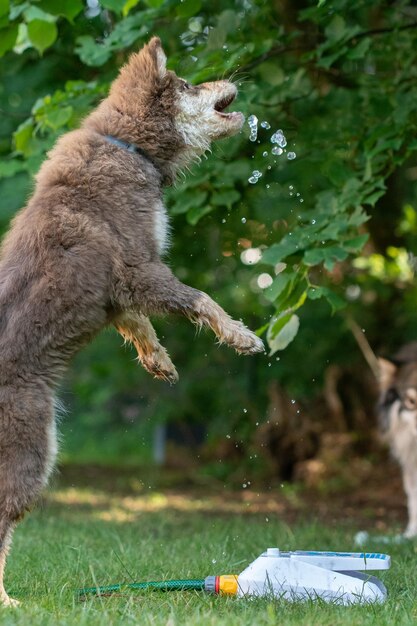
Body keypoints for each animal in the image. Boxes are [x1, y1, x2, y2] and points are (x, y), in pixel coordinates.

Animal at [0, 36, 264, 604]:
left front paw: (158, 360)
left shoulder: (118, 294)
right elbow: (200, 299)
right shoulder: (139, 268)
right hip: (31, 452)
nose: (233, 79)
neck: (128, 147)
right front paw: (242, 336)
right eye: (188, 83)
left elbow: (138, 325)